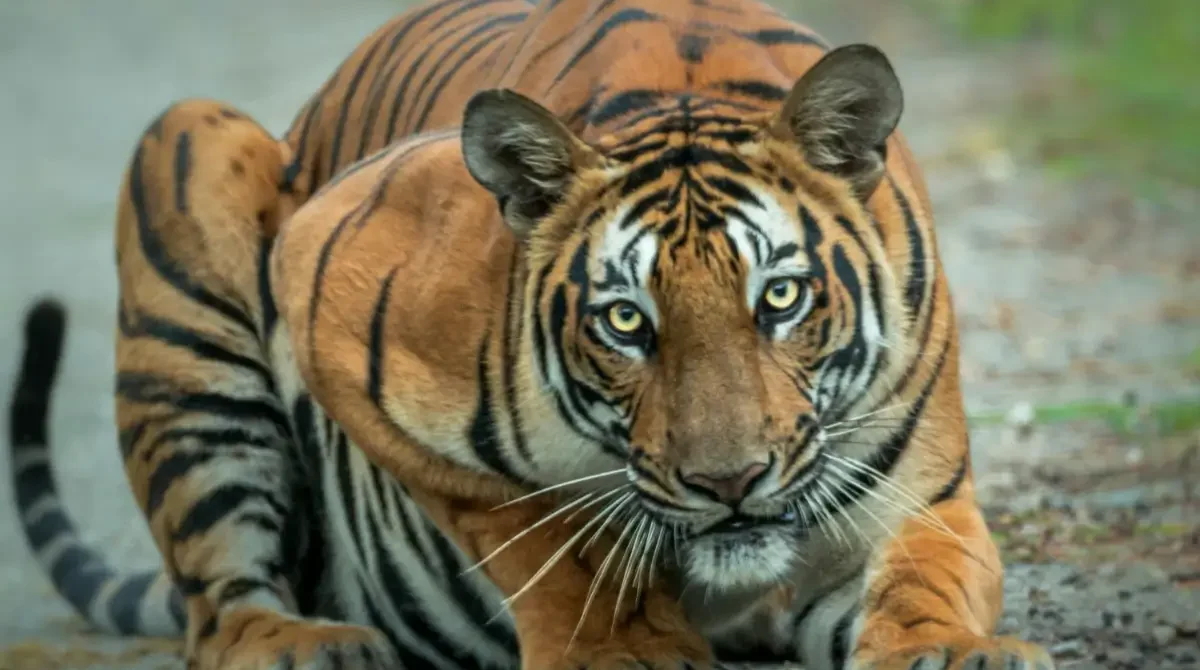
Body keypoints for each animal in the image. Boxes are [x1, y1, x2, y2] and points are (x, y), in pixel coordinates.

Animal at [7, 0, 1058, 668]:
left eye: (782, 299)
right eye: (627, 321)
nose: (729, 485)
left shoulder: (921, 493)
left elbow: (928, 573)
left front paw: (952, 652)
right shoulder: (329, 287)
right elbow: (544, 532)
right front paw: (623, 650)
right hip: (190, 153)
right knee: (218, 607)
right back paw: (304, 647)